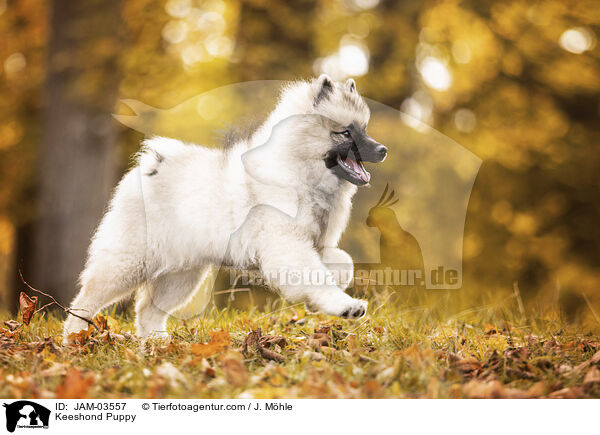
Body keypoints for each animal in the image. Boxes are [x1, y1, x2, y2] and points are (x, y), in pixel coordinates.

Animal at [63, 75, 386, 340]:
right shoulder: (288, 247)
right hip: (130, 261)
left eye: (365, 129)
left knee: (148, 311)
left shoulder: (316, 245)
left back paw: (157, 346)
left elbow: (343, 262)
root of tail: (152, 166)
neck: (299, 171)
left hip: (181, 274)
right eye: (345, 133)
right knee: (85, 301)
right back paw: (75, 340)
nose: (382, 150)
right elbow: (315, 277)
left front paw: (338, 283)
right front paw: (345, 305)